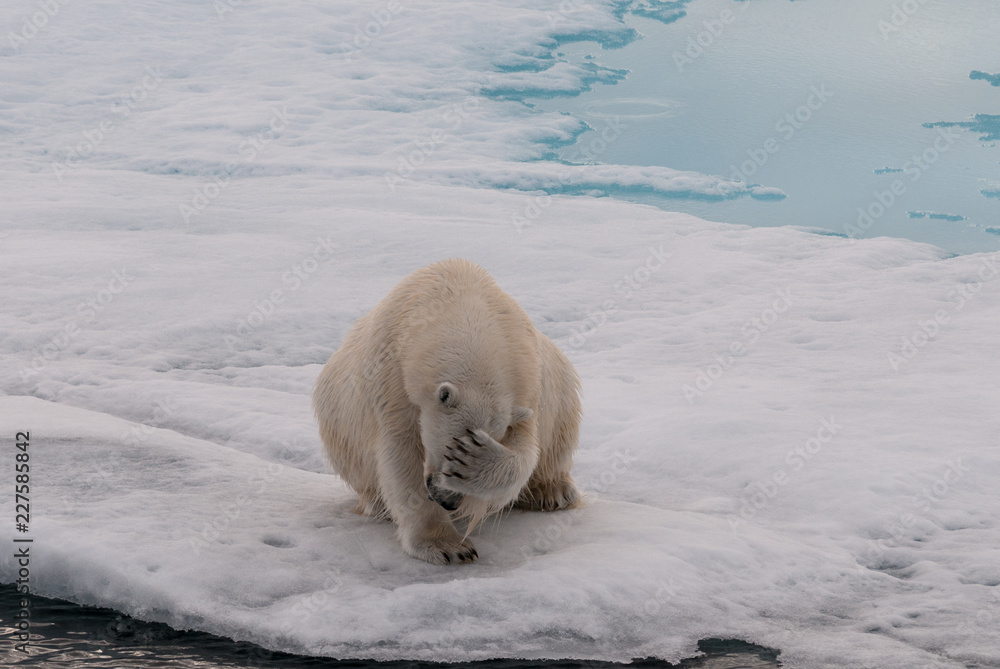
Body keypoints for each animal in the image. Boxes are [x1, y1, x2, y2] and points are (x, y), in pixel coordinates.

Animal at [313, 258, 582, 565]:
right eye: (448, 447)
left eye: (460, 448)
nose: (448, 501)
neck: (460, 298)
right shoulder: (393, 381)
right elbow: (401, 454)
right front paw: (448, 546)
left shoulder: (526, 384)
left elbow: (524, 451)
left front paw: (476, 462)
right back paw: (377, 503)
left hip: (560, 385)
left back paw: (554, 491)